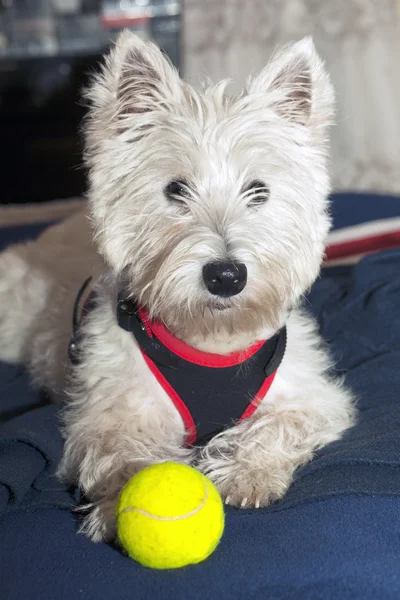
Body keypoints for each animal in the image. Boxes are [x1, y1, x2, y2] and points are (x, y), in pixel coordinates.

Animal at [0, 30, 354, 540]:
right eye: (175, 189)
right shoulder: (109, 411)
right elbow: (120, 451)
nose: (226, 276)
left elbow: (279, 425)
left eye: (259, 191)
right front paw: (119, 502)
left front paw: (247, 473)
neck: (209, 338)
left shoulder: (311, 396)